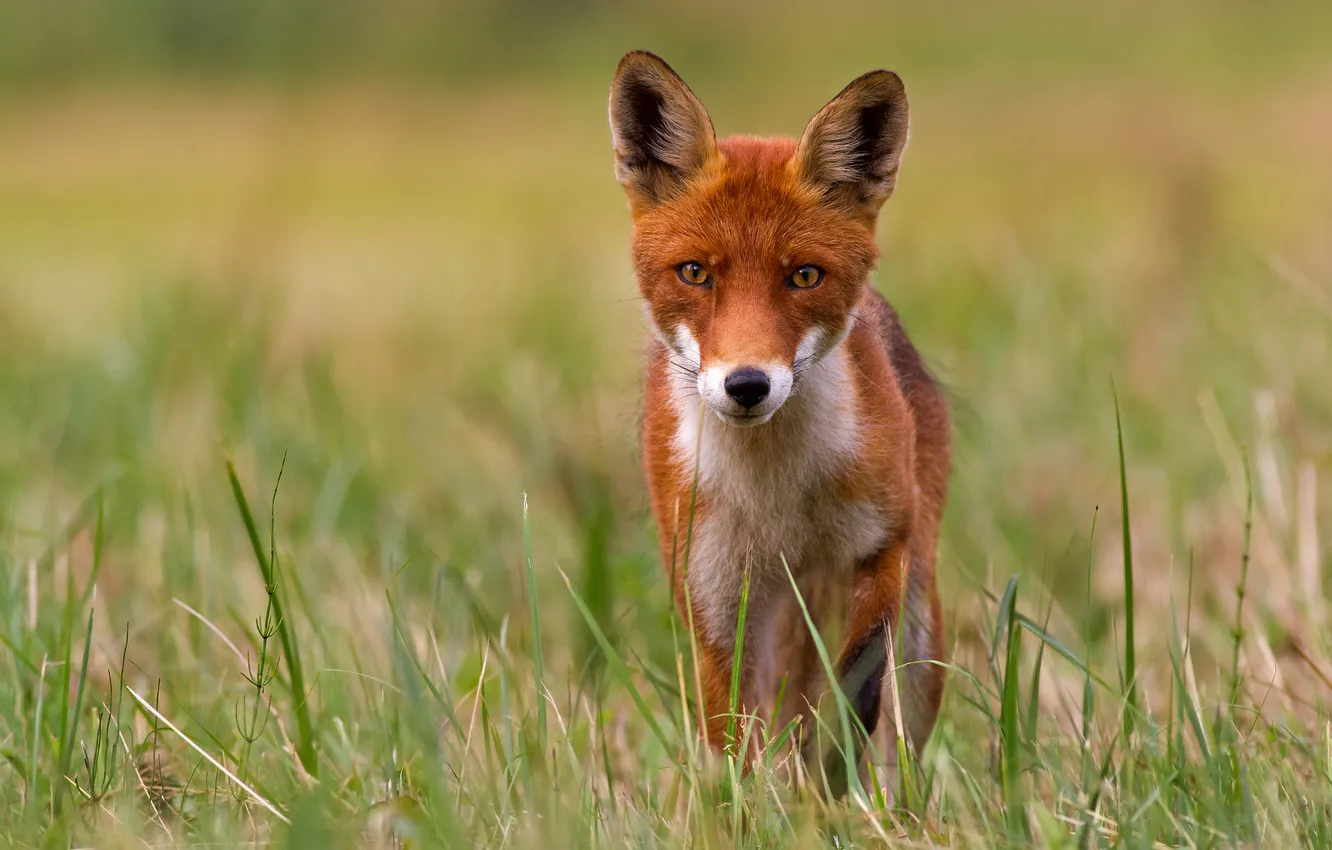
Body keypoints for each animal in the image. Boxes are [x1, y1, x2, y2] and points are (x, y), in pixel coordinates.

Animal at [609, 51, 950, 792]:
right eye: (694, 272)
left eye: (804, 276)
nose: (746, 384)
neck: (776, 498)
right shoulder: (709, 586)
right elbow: (731, 734)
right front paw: (756, 805)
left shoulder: (880, 548)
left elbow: (854, 700)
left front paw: (825, 791)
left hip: (919, 620)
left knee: (899, 743)